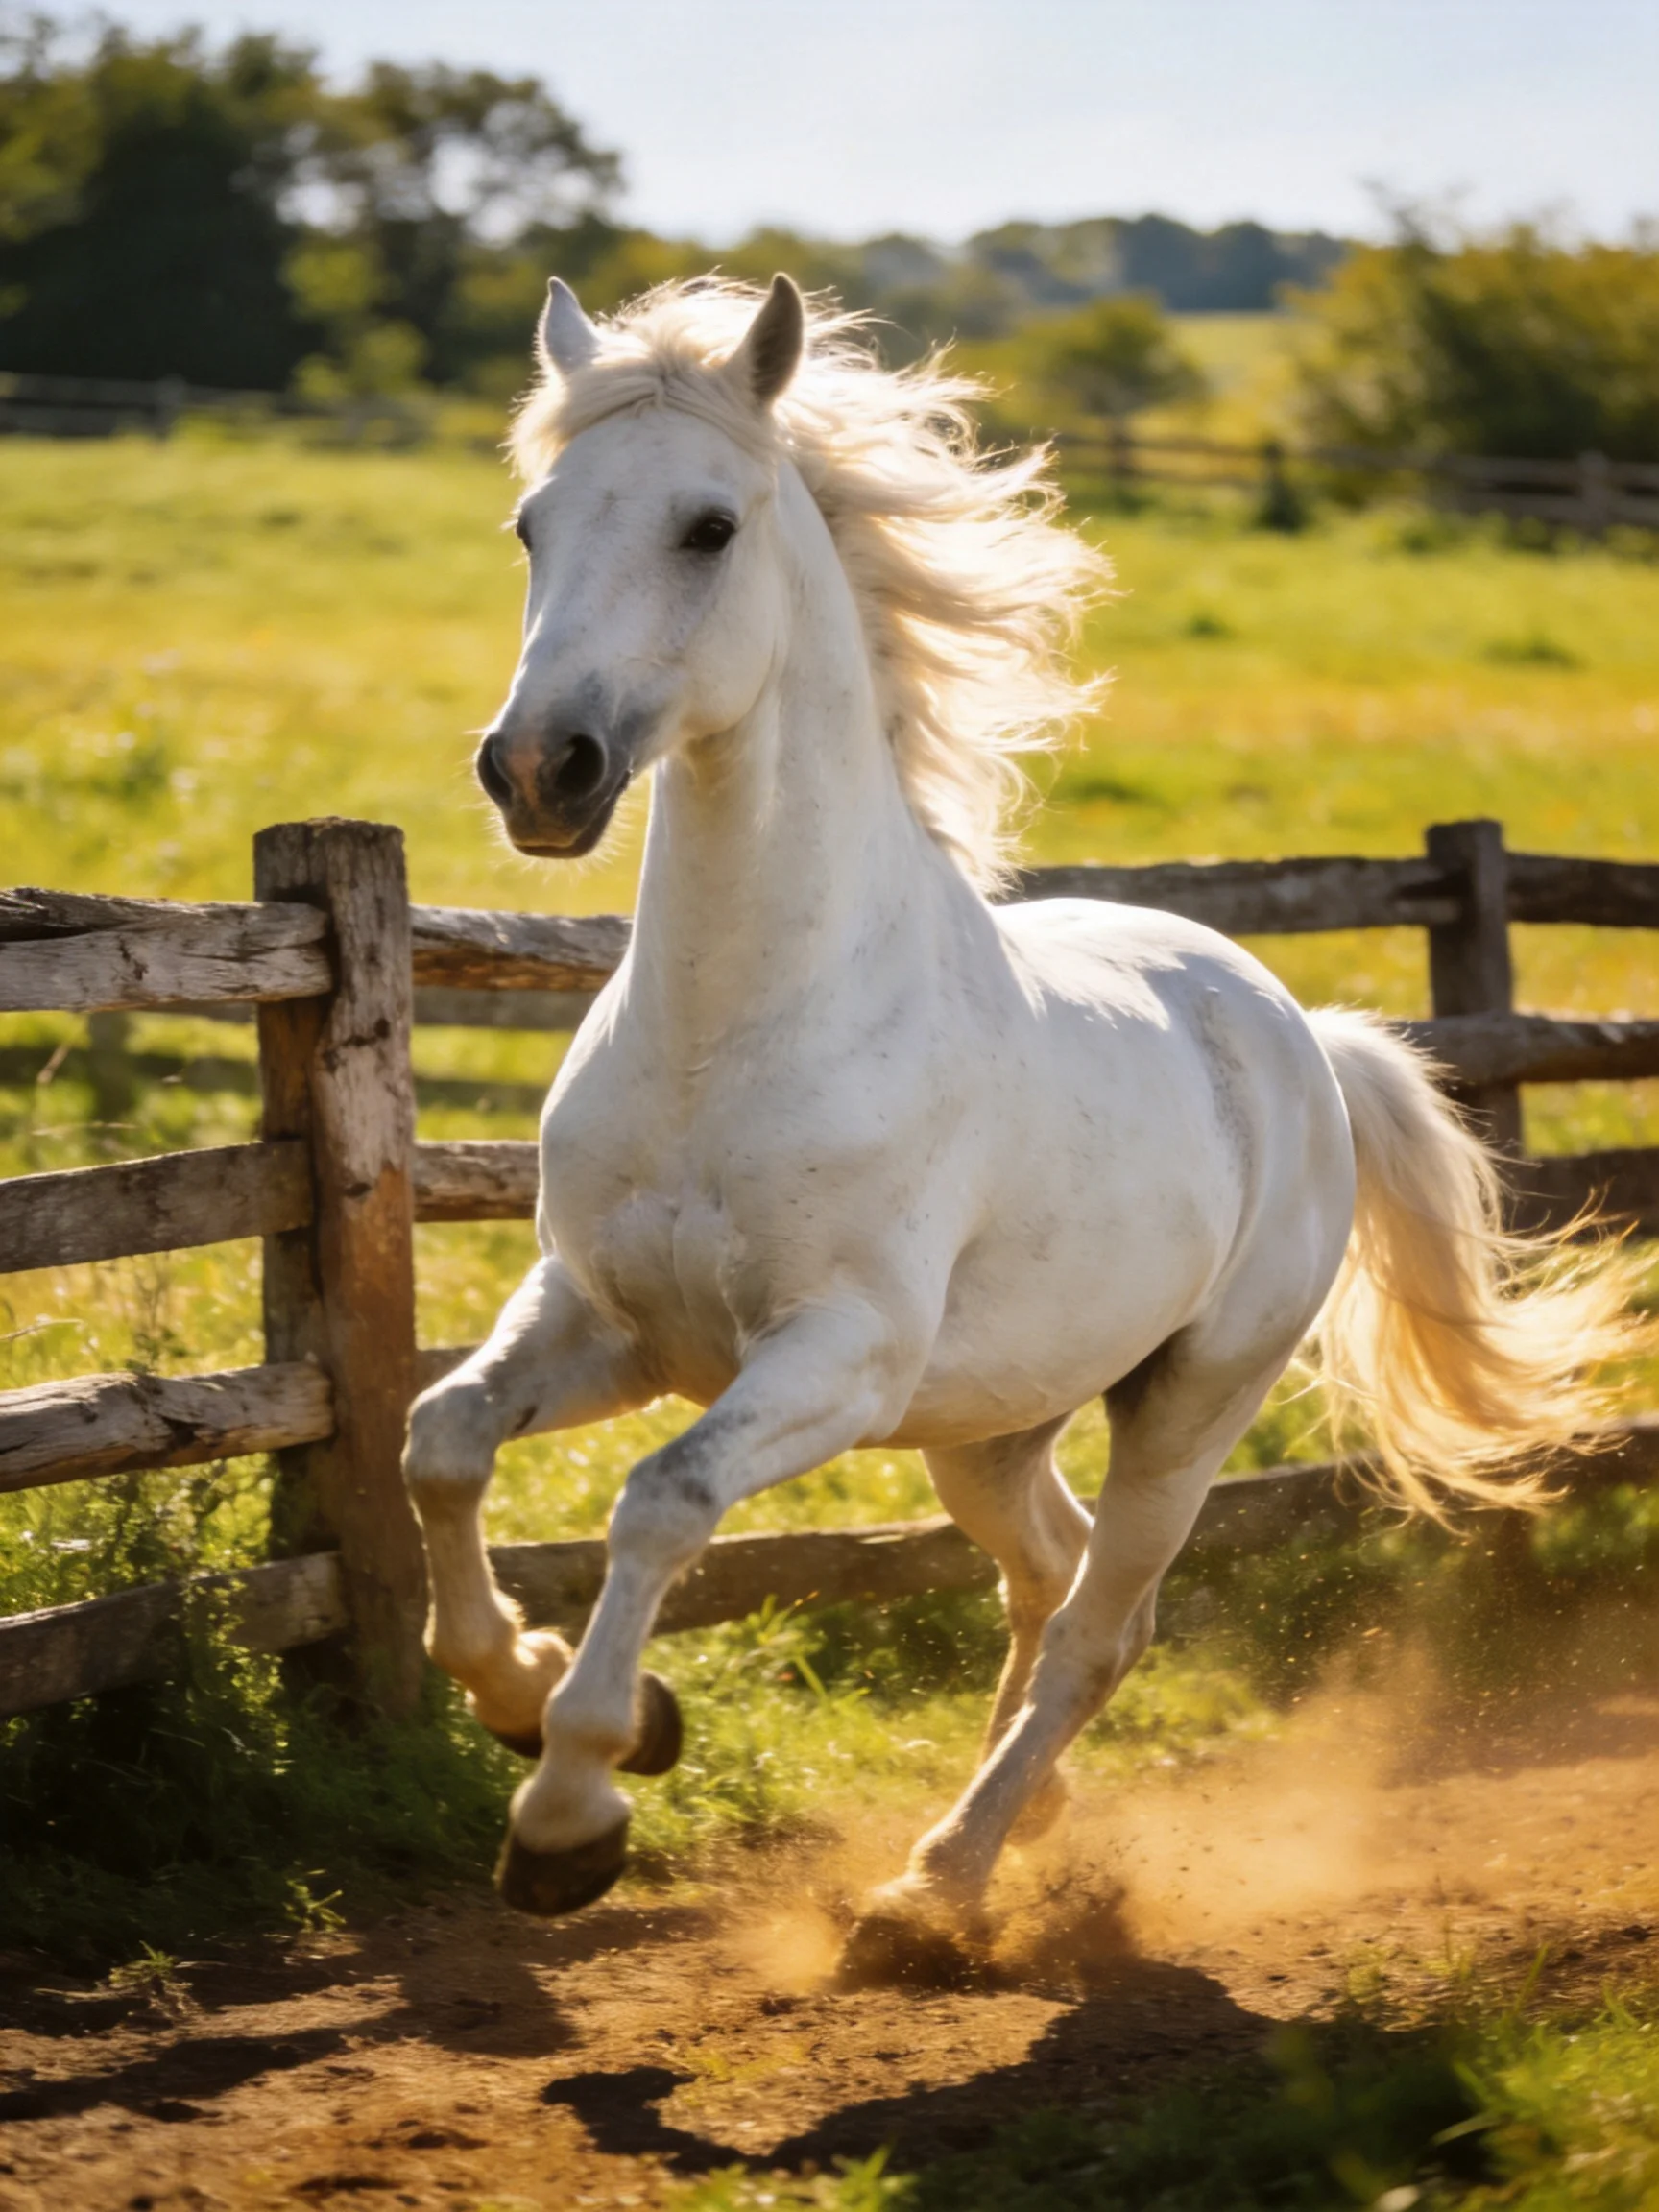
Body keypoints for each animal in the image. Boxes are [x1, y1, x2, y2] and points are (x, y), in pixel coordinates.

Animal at [402, 273, 1633, 1944]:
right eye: (534, 523)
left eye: (709, 526)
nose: (540, 770)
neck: (736, 1033)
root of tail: (1301, 1036)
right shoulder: (611, 1319)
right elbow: (441, 1440)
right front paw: (533, 1693)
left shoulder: (835, 1356)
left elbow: (661, 1503)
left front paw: (576, 1805)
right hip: (989, 1426)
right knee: (1045, 1575)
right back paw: (1019, 1825)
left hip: (1191, 1402)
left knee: (1105, 1625)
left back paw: (932, 1891)